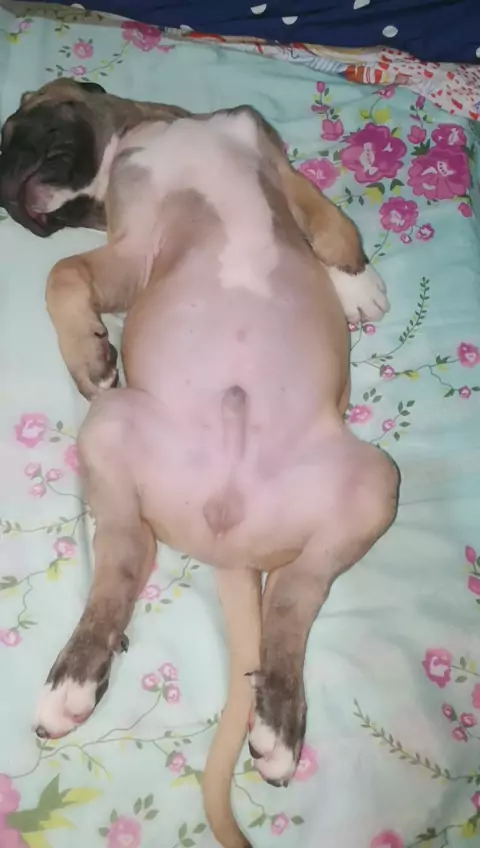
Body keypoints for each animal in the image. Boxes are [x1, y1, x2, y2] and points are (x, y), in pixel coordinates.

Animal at [1, 81, 399, 848]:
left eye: (15, 124)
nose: (3, 180)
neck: (150, 131)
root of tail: (231, 541)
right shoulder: (129, 249)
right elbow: (64, 273)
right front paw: (89, 354)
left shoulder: (272, 162)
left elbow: (326, 218)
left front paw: (355, 281)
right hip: (111, 428)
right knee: (127, 560)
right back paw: (75, 679)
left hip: (374, 484)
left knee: (294, 596)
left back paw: (276, 719)